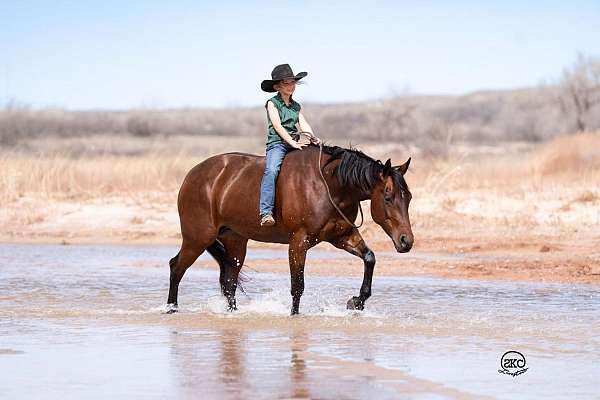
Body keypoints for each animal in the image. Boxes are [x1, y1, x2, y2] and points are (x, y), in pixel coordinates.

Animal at [166, 144, 414, 316]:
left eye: (409, 197)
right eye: (388, 197)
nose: (406, 241)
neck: (329, 185)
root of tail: (192, 175)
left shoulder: (341, 236)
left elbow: (369, 258)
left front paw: (356, 301)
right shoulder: (299, 242)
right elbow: (298, 286)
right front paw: (295, 316)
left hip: (235, 241)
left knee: (229, 281)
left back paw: (233, 313)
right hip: (197, 238)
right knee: (177, 267)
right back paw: (171, 307)